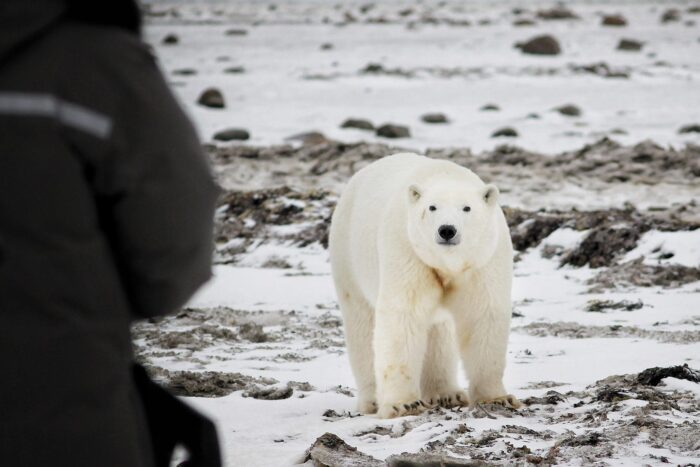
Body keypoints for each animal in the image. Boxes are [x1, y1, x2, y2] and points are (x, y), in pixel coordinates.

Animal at [330, 154, 520, 420]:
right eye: (432, 207)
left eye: (467, 208)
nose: (447, 230)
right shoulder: (408, 250)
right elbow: (403, 316)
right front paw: (402, 405)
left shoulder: (484, 260)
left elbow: (484, 316)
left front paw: (497, 399)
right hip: (348, 257)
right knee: (362, 327)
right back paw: (372, 400)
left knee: (439, 333)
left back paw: (447, 394)